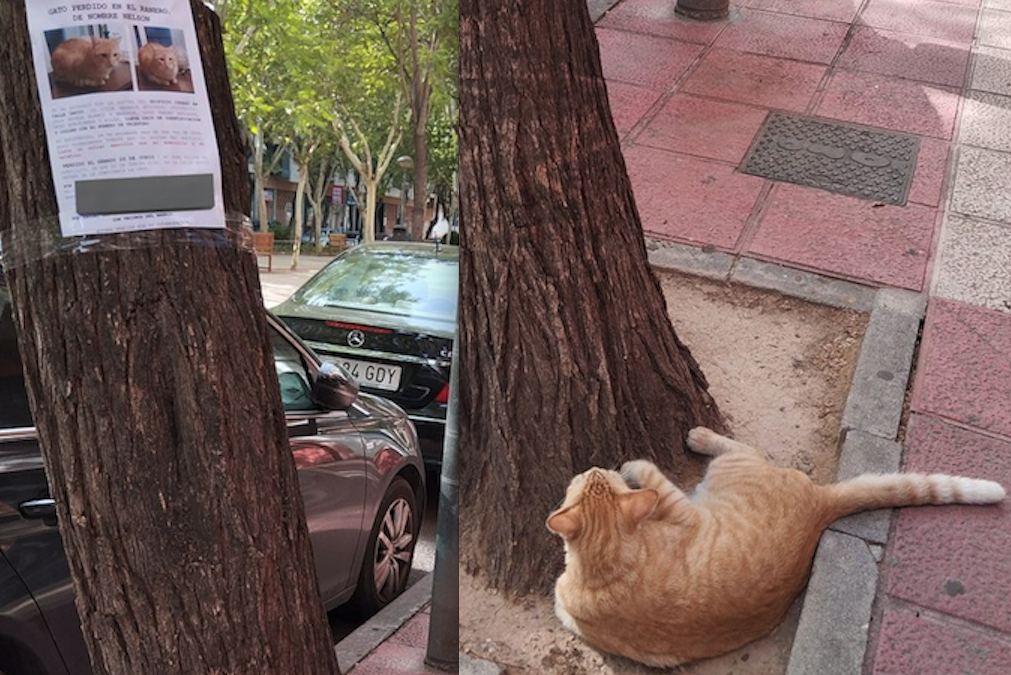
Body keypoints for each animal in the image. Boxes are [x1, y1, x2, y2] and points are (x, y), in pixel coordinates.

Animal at [549, 426, 1006, 662]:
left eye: (591, 476)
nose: (593, 464)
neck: (609, 565)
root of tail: (820, 505)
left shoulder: (681, 509)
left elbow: (650, 475)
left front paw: (633, 464)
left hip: (734, 467)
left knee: (740, 445)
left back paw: (700, 435)